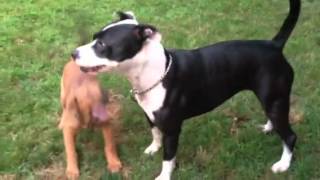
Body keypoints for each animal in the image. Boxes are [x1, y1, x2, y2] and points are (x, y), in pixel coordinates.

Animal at [72, 0, 300, 179]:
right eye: (94, 37)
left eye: (101, 44)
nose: (73, 53)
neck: (154, 73)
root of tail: (274, 45)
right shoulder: (149, 115)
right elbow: (155, 133)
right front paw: (153, 148)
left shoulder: (173, 129)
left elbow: (168, 157)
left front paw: (164, 176)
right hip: (271, 99)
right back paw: (269, 128)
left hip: (275, 98)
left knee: (289, 136)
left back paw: (283, 164)